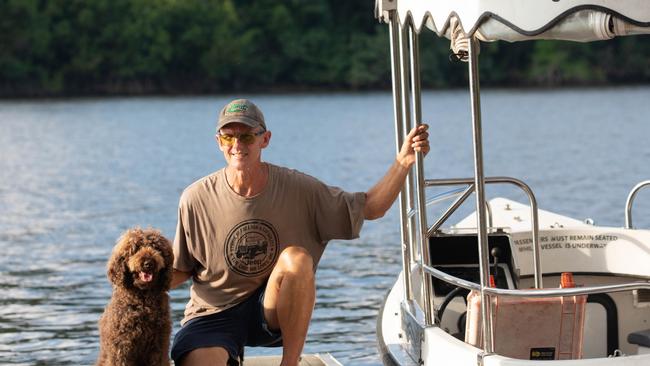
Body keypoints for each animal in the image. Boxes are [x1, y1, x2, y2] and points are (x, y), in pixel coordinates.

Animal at [95, 227, 172, 364]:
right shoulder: (121, 347)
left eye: (156, 248)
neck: (143, 298)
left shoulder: (159, 345)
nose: (148, 263)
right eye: (136, 248)